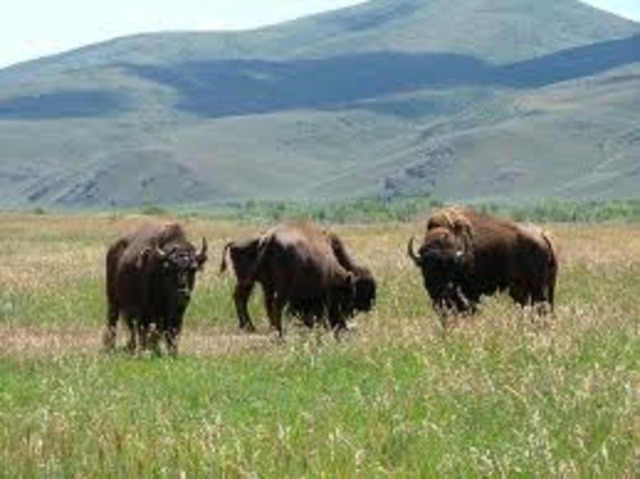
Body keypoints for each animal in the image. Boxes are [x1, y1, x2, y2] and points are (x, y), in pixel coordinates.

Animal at [103, 223, 207, 355]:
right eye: (168, 269)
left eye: (193, 269)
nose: (182, 293)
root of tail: (112, 249)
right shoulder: (148, 311)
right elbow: (151, 332)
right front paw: (153, 351)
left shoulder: (178, 313)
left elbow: (173, 332)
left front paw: (173, 353)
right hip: (113, 301)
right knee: (114, 323)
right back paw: (111, 347)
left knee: (132, 328)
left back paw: (131, 348)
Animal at [220, 221, 376, 336]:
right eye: (366, 287)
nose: (370, 305)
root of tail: (269, 238)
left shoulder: (267, 285)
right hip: (277, 286)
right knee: (274, 304)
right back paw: (278, 333)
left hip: (247, 281)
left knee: (244, 299)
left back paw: (251, 327)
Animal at [408, 207, 557, 316]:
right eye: (427, 267)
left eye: (451, 265)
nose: (445, 289)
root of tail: (542, 237)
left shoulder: (471, 294)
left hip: (536, 290)